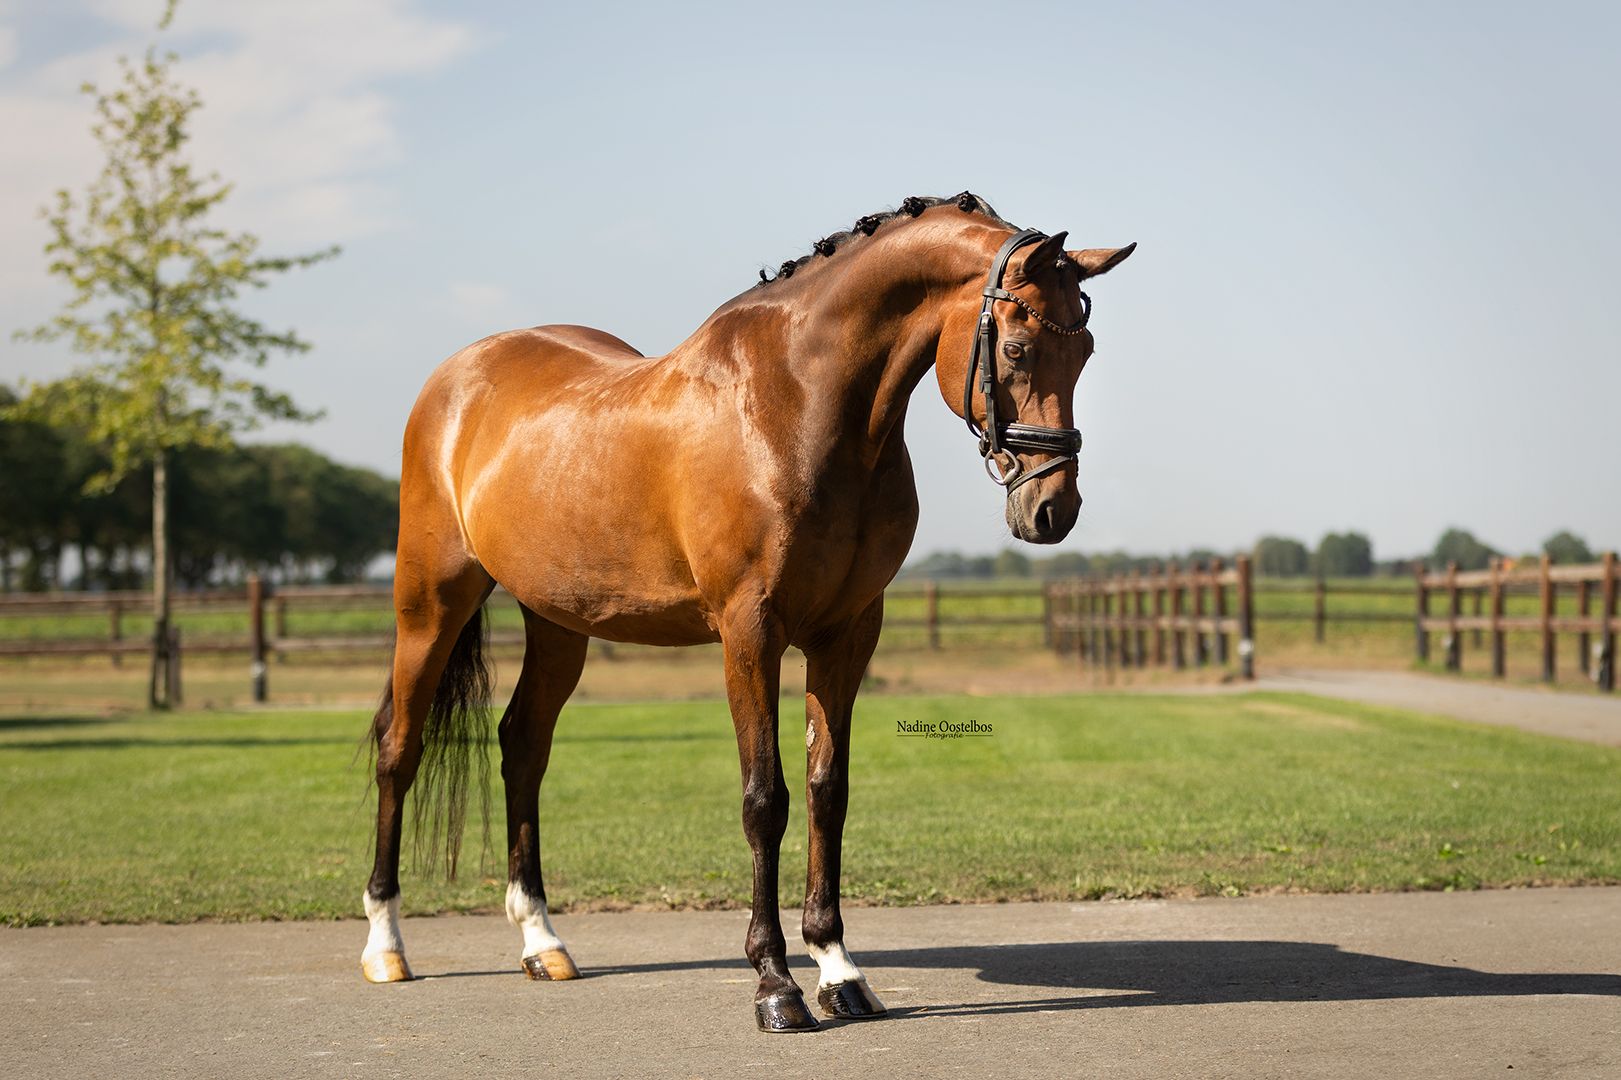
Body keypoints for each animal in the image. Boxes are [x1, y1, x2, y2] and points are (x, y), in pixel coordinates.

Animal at [360, 191, 1134, 1032]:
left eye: (1086, 350)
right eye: (1018, 349)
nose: (1052, 510)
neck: (798, 407)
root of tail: (461, 374)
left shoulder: (846, 635)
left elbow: (828, 790)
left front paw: (839, 970)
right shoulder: (749, 633)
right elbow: (766, 799)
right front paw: (776, 984)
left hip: (558, 621)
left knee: (522, 746)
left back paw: (541, 942)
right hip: (429, 603)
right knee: (399, 748)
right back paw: (386, 946)